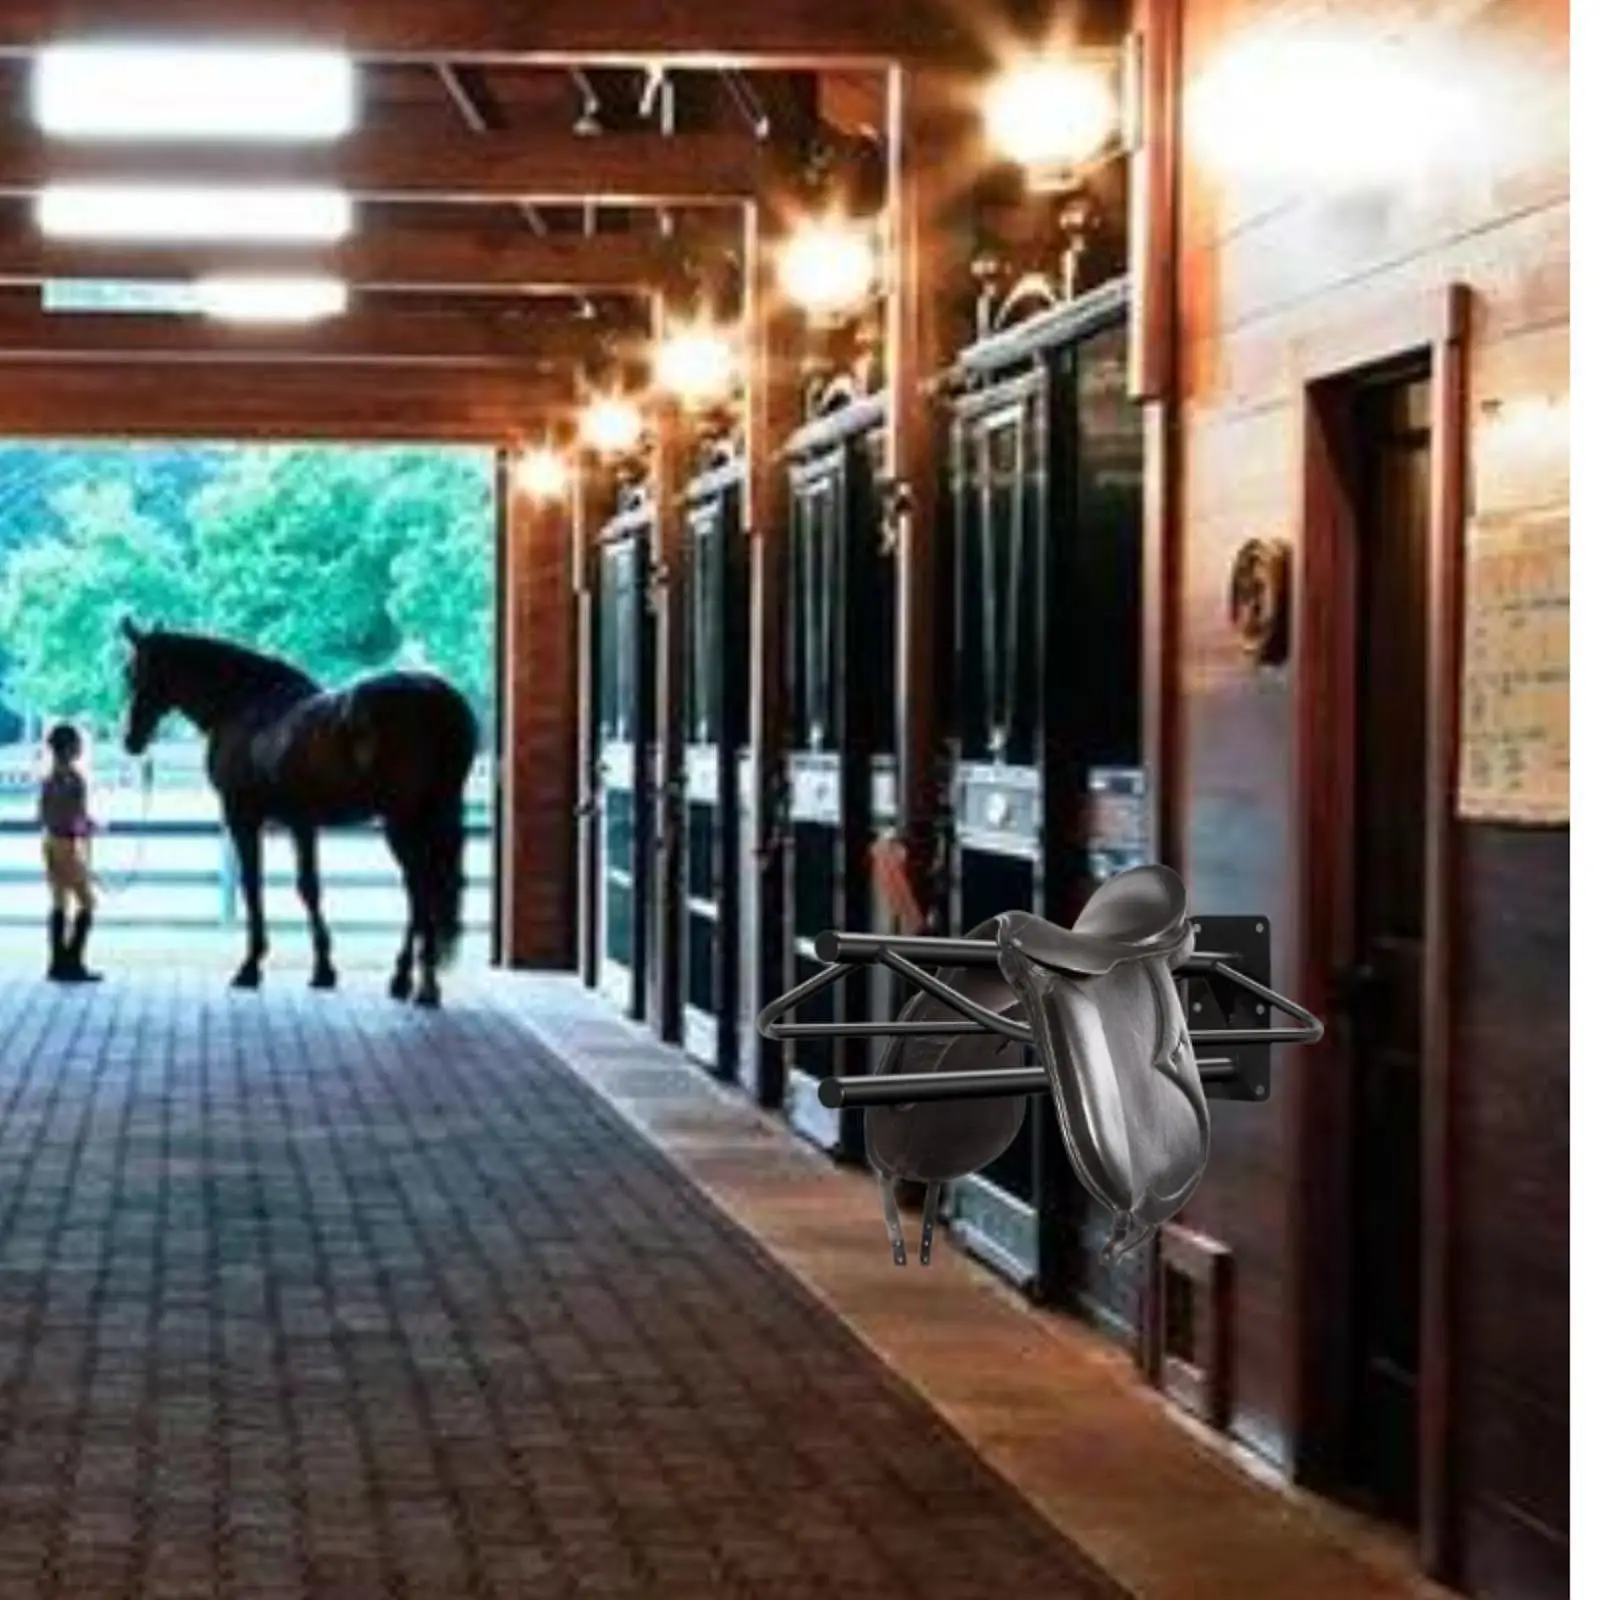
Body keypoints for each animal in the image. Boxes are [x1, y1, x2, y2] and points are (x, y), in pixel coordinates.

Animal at [121, 620, 476, 1004]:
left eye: (135, 672)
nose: (131, 740)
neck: (245, 703)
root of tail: (436, 698)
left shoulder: (243, 817)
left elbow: (254, 884)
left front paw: (251, 966)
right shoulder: (302, 822)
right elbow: (309, 887)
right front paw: (323, 969)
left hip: (402, 821)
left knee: (421, 887)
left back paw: (423, 983)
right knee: (420, 889)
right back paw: (405, 978)